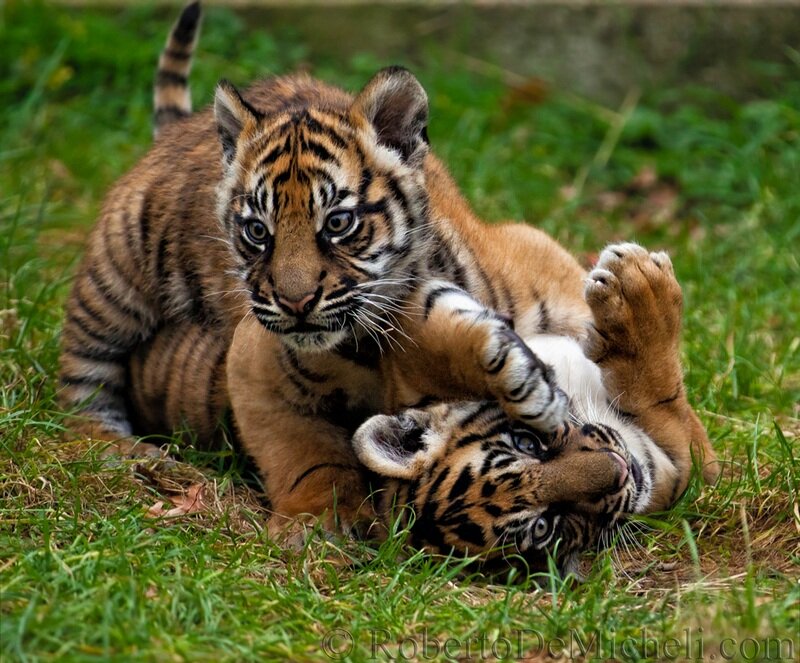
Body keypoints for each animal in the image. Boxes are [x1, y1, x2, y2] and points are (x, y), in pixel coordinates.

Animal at [59, 2, 717, 557]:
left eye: (339, 223)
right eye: (257, 232)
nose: (294, 303)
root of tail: (185, 125)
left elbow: (664, 400)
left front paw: (630, 299)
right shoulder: (259, 356)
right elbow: (304, 450)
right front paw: (320, 522)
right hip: (116, 272)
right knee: (81, 381)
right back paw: (118, 452)